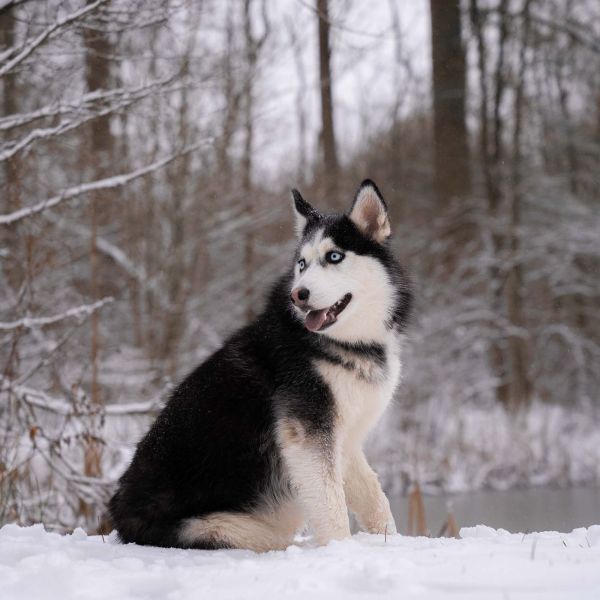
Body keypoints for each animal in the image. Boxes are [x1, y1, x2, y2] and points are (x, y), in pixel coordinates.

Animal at [108, 180, 410, 552]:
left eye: (334, 256)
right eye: (302, 263)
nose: (299, 294)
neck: (346, 344)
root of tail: (120, 518)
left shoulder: (346, 438)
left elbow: (375, 500)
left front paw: (390, 542)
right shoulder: (308, 433)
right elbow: (332, 505)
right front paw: (339, 549)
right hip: (234, 528)